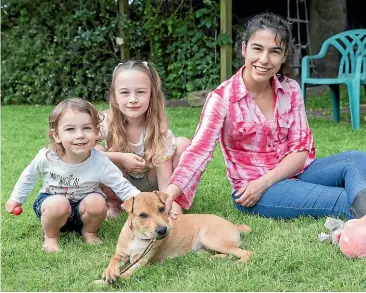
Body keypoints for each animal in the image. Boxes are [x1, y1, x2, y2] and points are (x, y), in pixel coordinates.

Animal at [101, 189, 253, 280]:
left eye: (162, 209)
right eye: (142, 215)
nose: (163, 230)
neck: (138, 237)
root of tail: (233, 225)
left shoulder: (142, 262)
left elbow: (126, 274)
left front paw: (103, 283)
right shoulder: (120, 255)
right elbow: (112, 261)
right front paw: (109, 272)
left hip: (212, 239)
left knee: (247, 253)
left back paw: (239, 263)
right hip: (206, 248)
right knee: (227, 254)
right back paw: (215, 258)